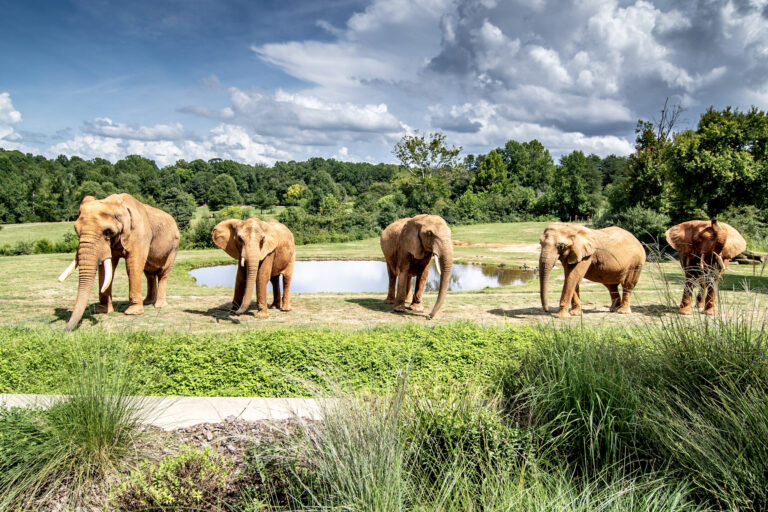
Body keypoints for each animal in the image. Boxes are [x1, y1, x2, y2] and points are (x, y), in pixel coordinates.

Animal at [59, 194, 181, 330]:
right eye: (76, 230)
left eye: (107, 232)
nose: (65, 330)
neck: (119, 206)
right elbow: (107, 266)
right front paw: (103, 311)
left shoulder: (139, 234)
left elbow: (132, 265)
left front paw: (132, 312)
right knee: (149, 273)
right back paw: (147, 302)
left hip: (174, 246)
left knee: (163, 273)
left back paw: (159, 305)